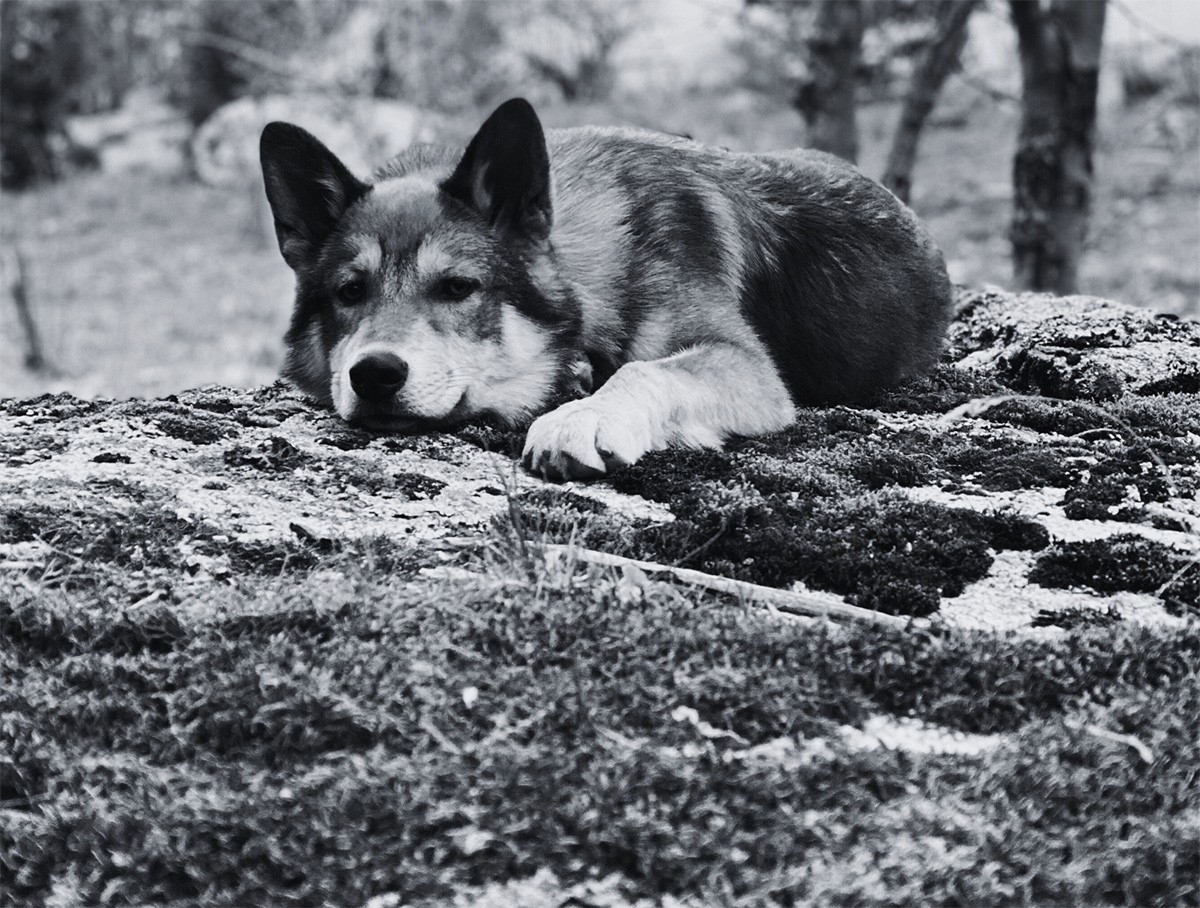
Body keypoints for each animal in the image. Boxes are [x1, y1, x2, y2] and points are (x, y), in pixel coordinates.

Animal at [258, 97, 950, 482]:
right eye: (350, 293)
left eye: (458, 287)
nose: (374, 373)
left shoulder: (749, 367)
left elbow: (645, 371)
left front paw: (582, 417)